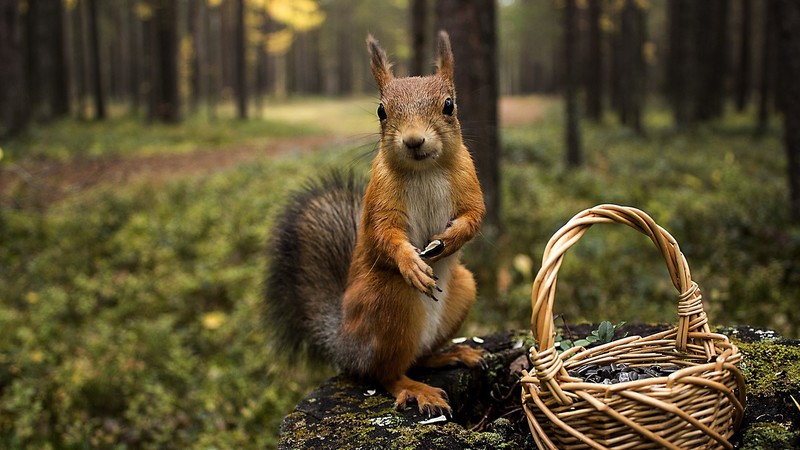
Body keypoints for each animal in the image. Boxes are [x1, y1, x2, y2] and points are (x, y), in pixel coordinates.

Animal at [264, 31, 486, 417]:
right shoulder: (380, 198)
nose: (413, 140)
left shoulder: (469, 181)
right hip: (388, 301)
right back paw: (416, 388)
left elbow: (475, 215)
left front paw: (452, 239)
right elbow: (384, 234)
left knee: (418, 357)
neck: (425, 169)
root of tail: (346, 345)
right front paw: (411, 263)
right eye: (382, 111)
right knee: (386, 373)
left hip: (463, 289)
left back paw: (452, 354)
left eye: (449, 105)